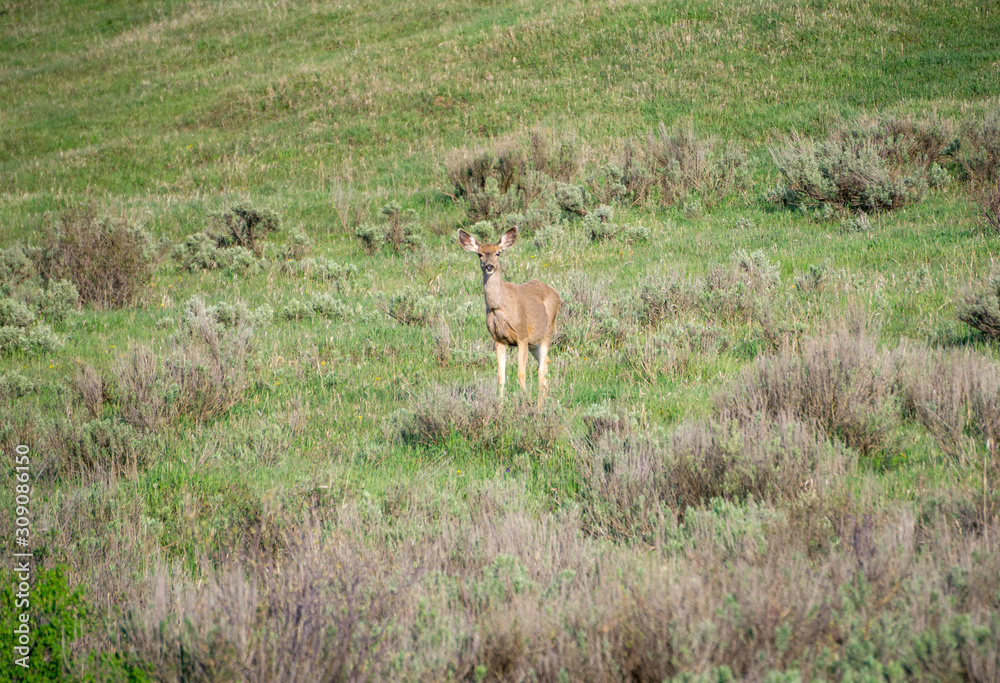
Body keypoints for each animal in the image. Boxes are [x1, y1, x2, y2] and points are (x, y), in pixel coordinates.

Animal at [457, 226, 561, 406]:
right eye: (480, 254)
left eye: (498, 252)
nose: (489, 266)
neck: (499, 307)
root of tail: (556, 293)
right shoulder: (498, 339)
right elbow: (501, 376)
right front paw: (499, 404)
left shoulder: (522, 336)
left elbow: (521, 373)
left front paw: (525, 401)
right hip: (534, 342)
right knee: (546, 365)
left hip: (548, 331)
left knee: (541, 369)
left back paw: (539, 405)